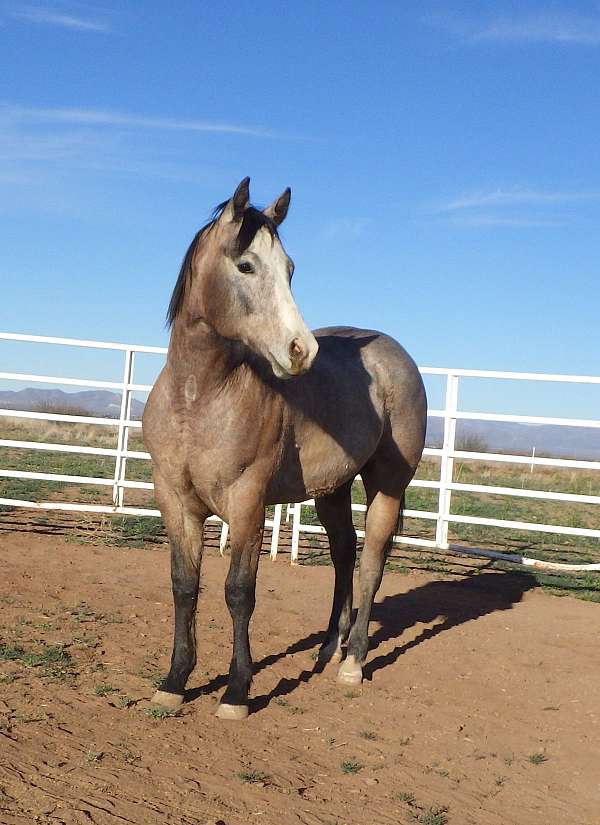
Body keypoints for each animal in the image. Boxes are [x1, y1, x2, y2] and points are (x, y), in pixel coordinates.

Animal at [142, 178, 427, 720]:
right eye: (246, 265)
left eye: (290, 269)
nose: (301, 351)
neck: (198, 398)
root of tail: (395, 354)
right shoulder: (175, 502)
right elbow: (184, 587)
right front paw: (174, 682)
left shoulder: (247, 503)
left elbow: (238, 592)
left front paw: (236, 692)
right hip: (332, 489)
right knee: (344, 554)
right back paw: (326, 651)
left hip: (386, 487)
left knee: (371, 564)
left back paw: (352, 663)